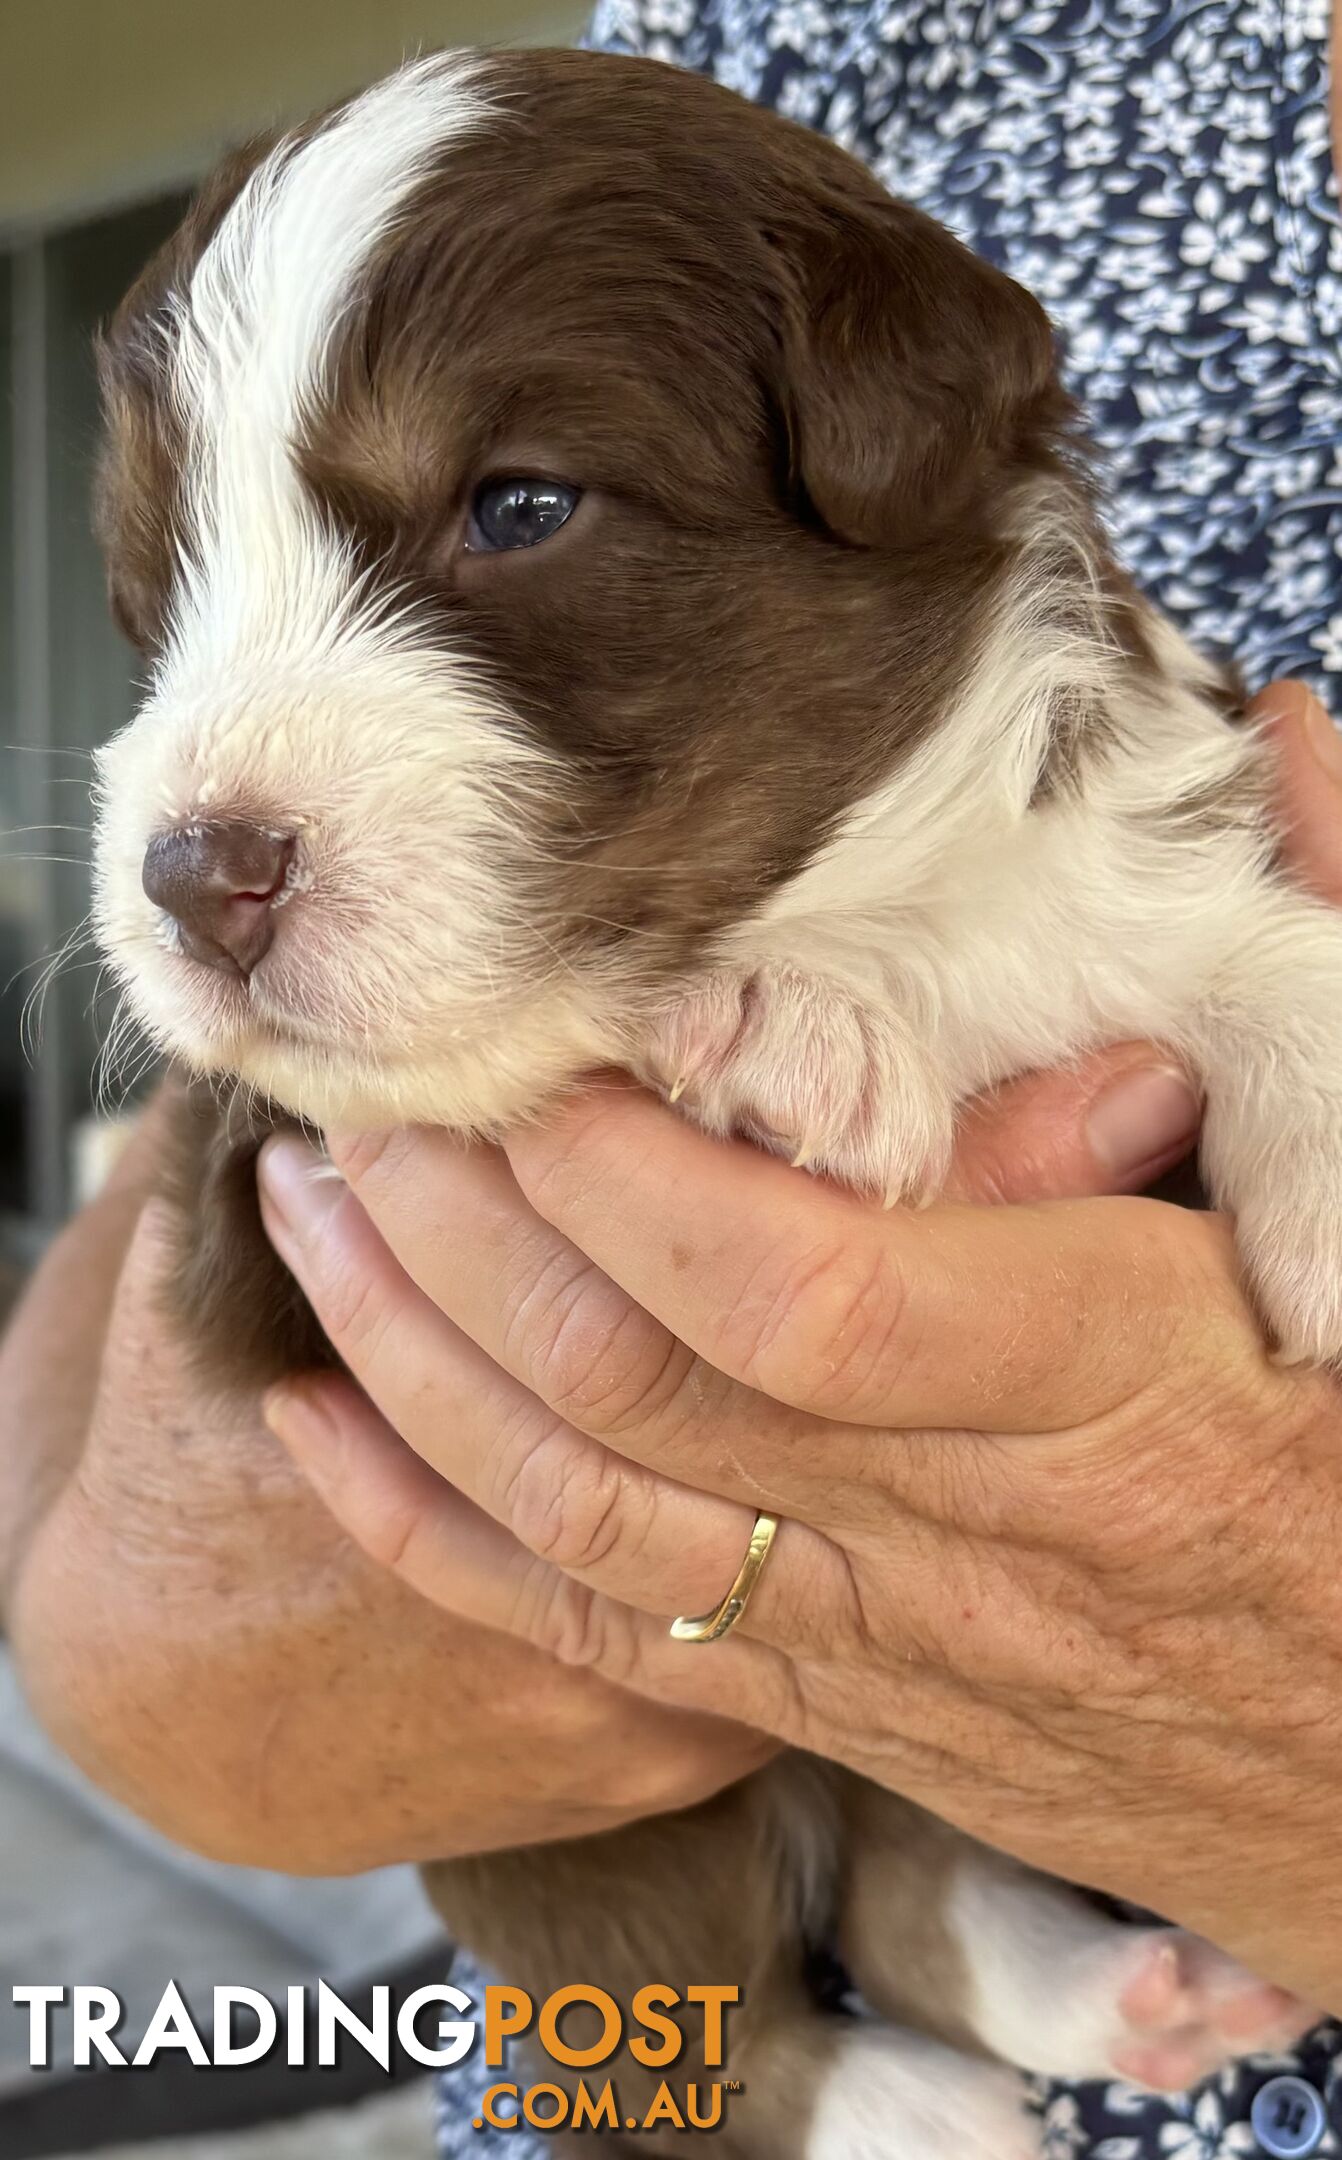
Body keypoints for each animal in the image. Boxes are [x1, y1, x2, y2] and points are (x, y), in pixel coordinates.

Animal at [91, 46, 1331, 2160]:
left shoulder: (1135, 853)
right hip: (576, 1813)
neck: (900, 890)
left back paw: (1129, 2000)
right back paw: (912, 2106)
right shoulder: (252, 1210)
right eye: (158, 580)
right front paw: (789, 1022)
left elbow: (1254, 947)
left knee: (909, 1874)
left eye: (520, 505)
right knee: (680, 2024)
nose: (193, 877)